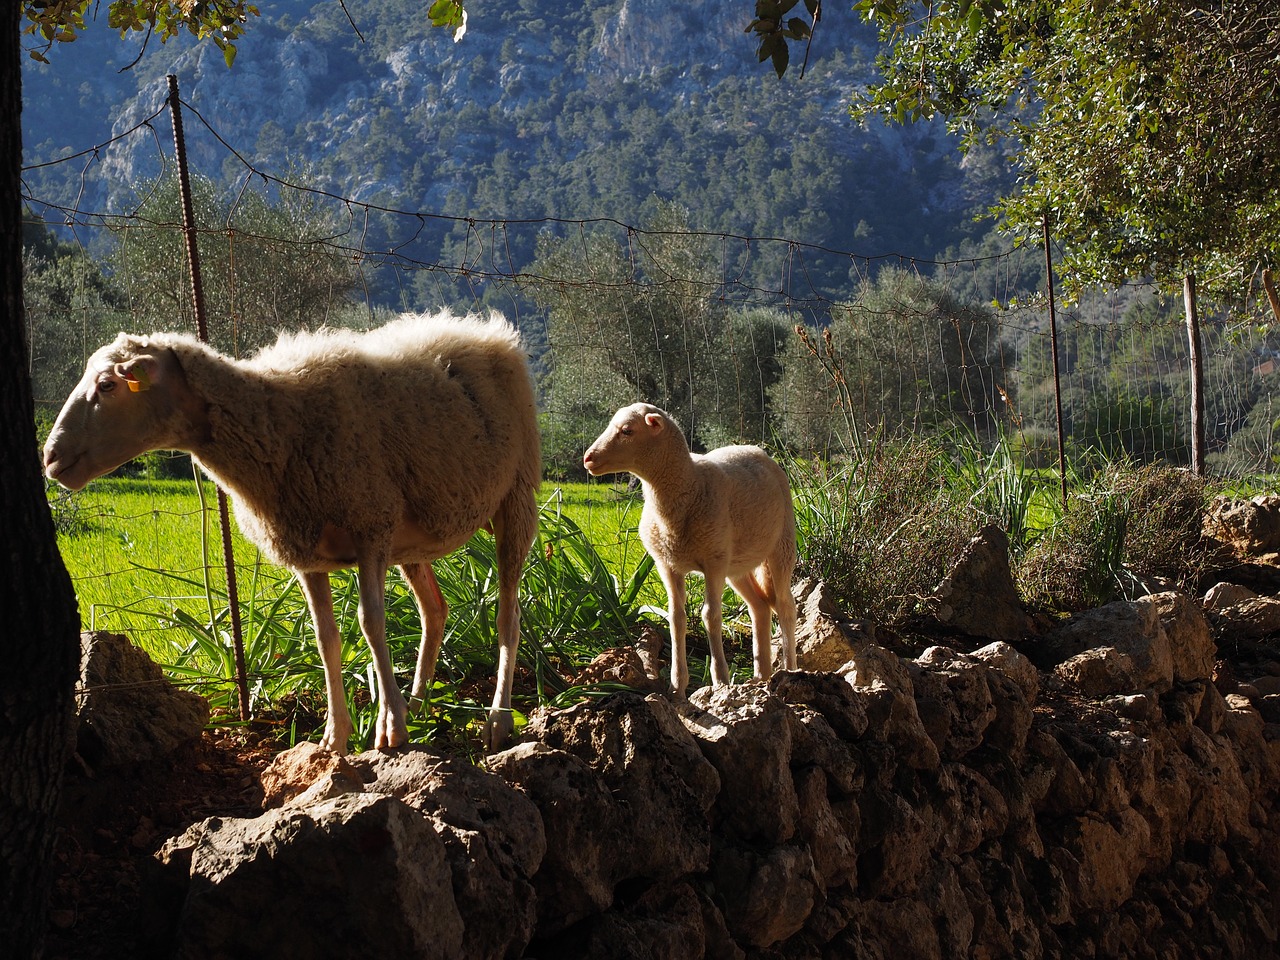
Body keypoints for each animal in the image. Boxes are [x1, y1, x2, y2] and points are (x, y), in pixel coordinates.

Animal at [43, 312, 540, 757]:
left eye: (108, 385)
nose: (50, 458)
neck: (276, 423)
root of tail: (485, 330)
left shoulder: (369, 527)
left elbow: (371, 624)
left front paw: (391, 730)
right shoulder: (308, 553)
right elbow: (326, 640)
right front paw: (336, 738)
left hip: (516, 497)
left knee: (508, 615)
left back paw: (497, 719)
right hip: (411, 539)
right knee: (434, 611)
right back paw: (417, 704)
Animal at [586, 401, 793, 696]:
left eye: (627, 430)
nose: (588, 459)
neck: (689, 483)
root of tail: (756, 450)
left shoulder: (713, 562)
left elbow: (711, 616)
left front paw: (720, 680)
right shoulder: (667, 564)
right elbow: (676, 618)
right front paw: (677, 685)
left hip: (781, 545)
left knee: (786, 607)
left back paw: (790, 669)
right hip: (736, 564)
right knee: (760, 608)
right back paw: (760, 677)